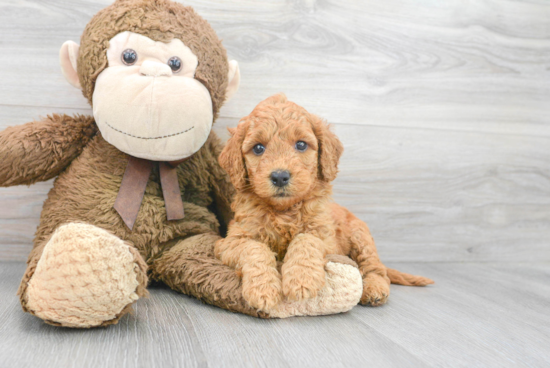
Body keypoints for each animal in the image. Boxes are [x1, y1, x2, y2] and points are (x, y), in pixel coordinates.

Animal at [216, 94, 436, 310]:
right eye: (258, 148)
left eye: (301, 145)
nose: (279, 177)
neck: (285, 211)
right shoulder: (230, 240)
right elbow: (255, 249)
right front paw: (262, 290)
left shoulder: (327, 238)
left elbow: (306, 239)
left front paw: (301, 280)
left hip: (361, 238)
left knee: (375, 269)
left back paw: (374, 289)